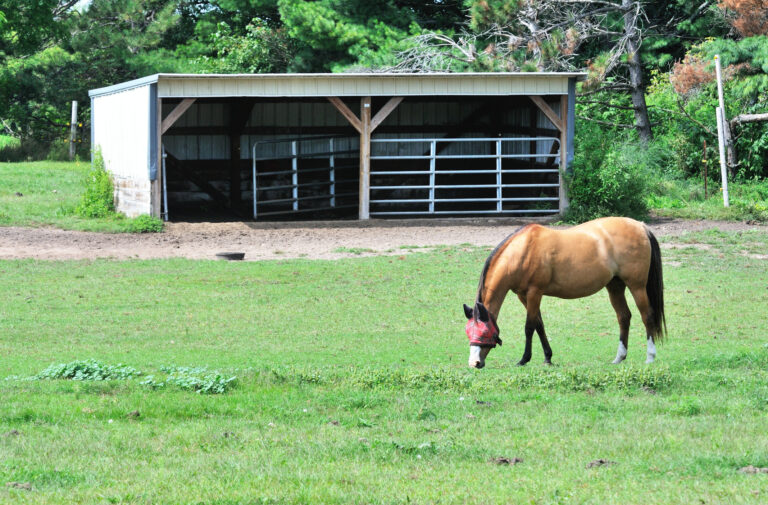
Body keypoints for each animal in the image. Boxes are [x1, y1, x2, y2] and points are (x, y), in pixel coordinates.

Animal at [462, 216, 664, 366]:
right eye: (468, 332)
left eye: (484, 333)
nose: (474, 363)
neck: (521, 251)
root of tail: (640, 226)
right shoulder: (523, 295)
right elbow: (539, 325)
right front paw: (548, 357)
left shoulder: (535, 292)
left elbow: (529, 326)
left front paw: (524, 359)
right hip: (615, 286)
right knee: (623, 317)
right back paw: (619, 357)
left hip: (637, 286)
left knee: (647, 316)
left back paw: (650, 357)